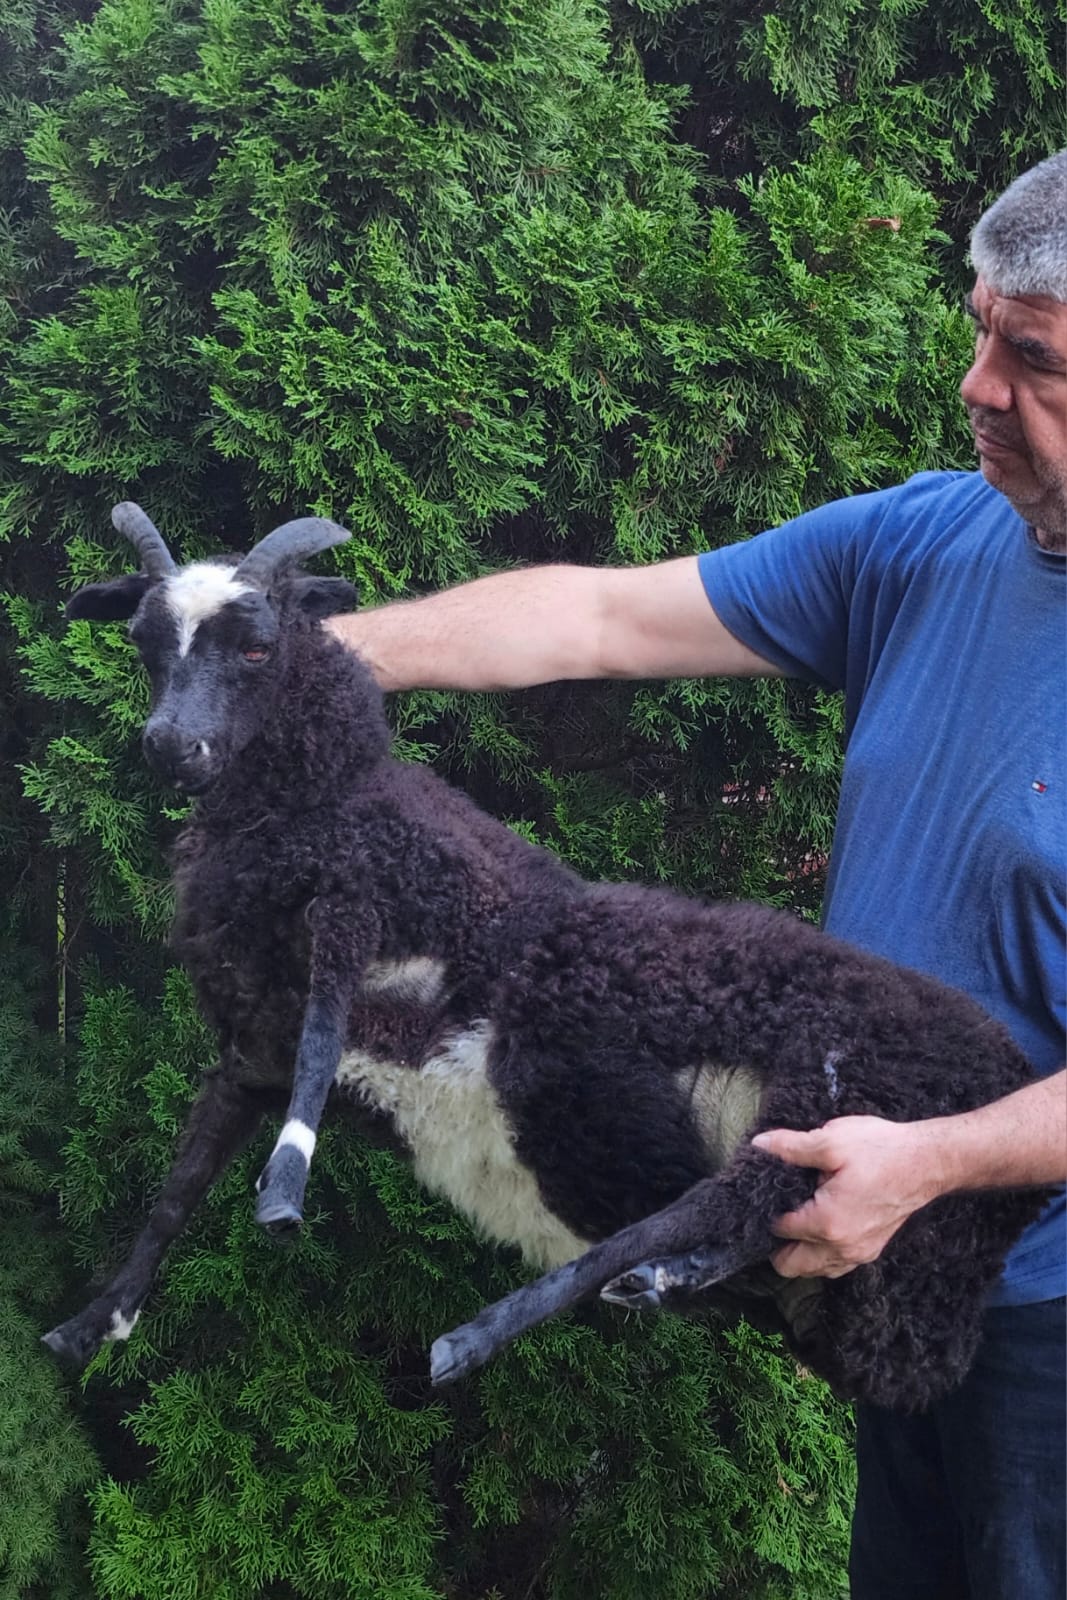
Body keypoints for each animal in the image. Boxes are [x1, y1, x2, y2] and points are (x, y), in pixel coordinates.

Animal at [43, 502, 1044, 1412]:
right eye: (143, 641)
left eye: (256, 648)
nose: (172, 747)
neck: (328, 797)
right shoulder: (252, 1045)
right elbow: (178, 1187)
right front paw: (93, 1324)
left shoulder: (364, 900)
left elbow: (322, 1046)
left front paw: (285, 1185)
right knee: (747, 1223)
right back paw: (667, 1279)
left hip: (839, 1105)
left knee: (712, 1204)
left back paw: (480, 1335)